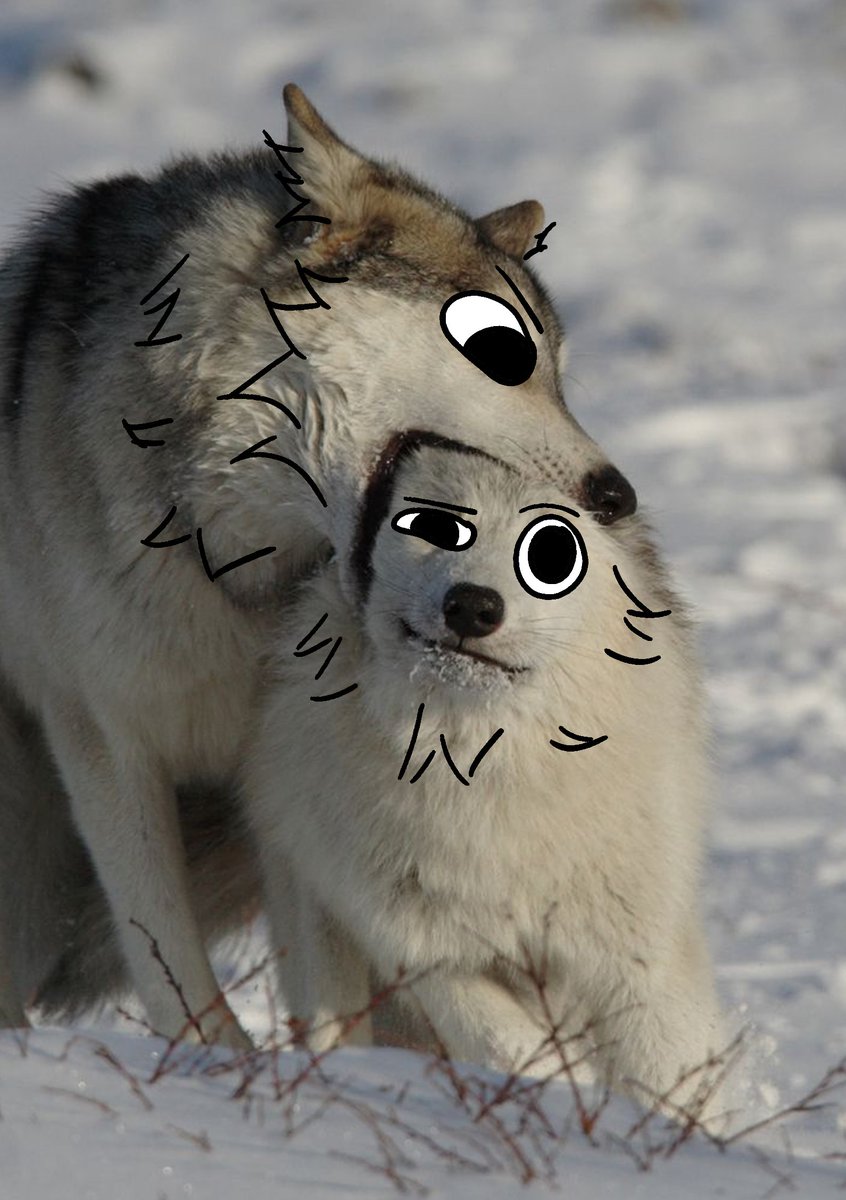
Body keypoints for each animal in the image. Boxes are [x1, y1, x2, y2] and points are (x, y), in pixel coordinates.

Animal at [0, 86, 636, 1043]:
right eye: (503, 352)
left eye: (560, 374)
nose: (616, 496)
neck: (224, 564)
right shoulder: (105, 741)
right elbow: (170, 959)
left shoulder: (284, 776)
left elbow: (323, 987)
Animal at [241, 433, 725, 1115]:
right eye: (434, 527)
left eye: (552, 553)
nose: (472, 604)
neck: (488, 774)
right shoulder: (425, 950)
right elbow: (518, 1052)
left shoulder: (635, 961)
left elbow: (669, 1080)